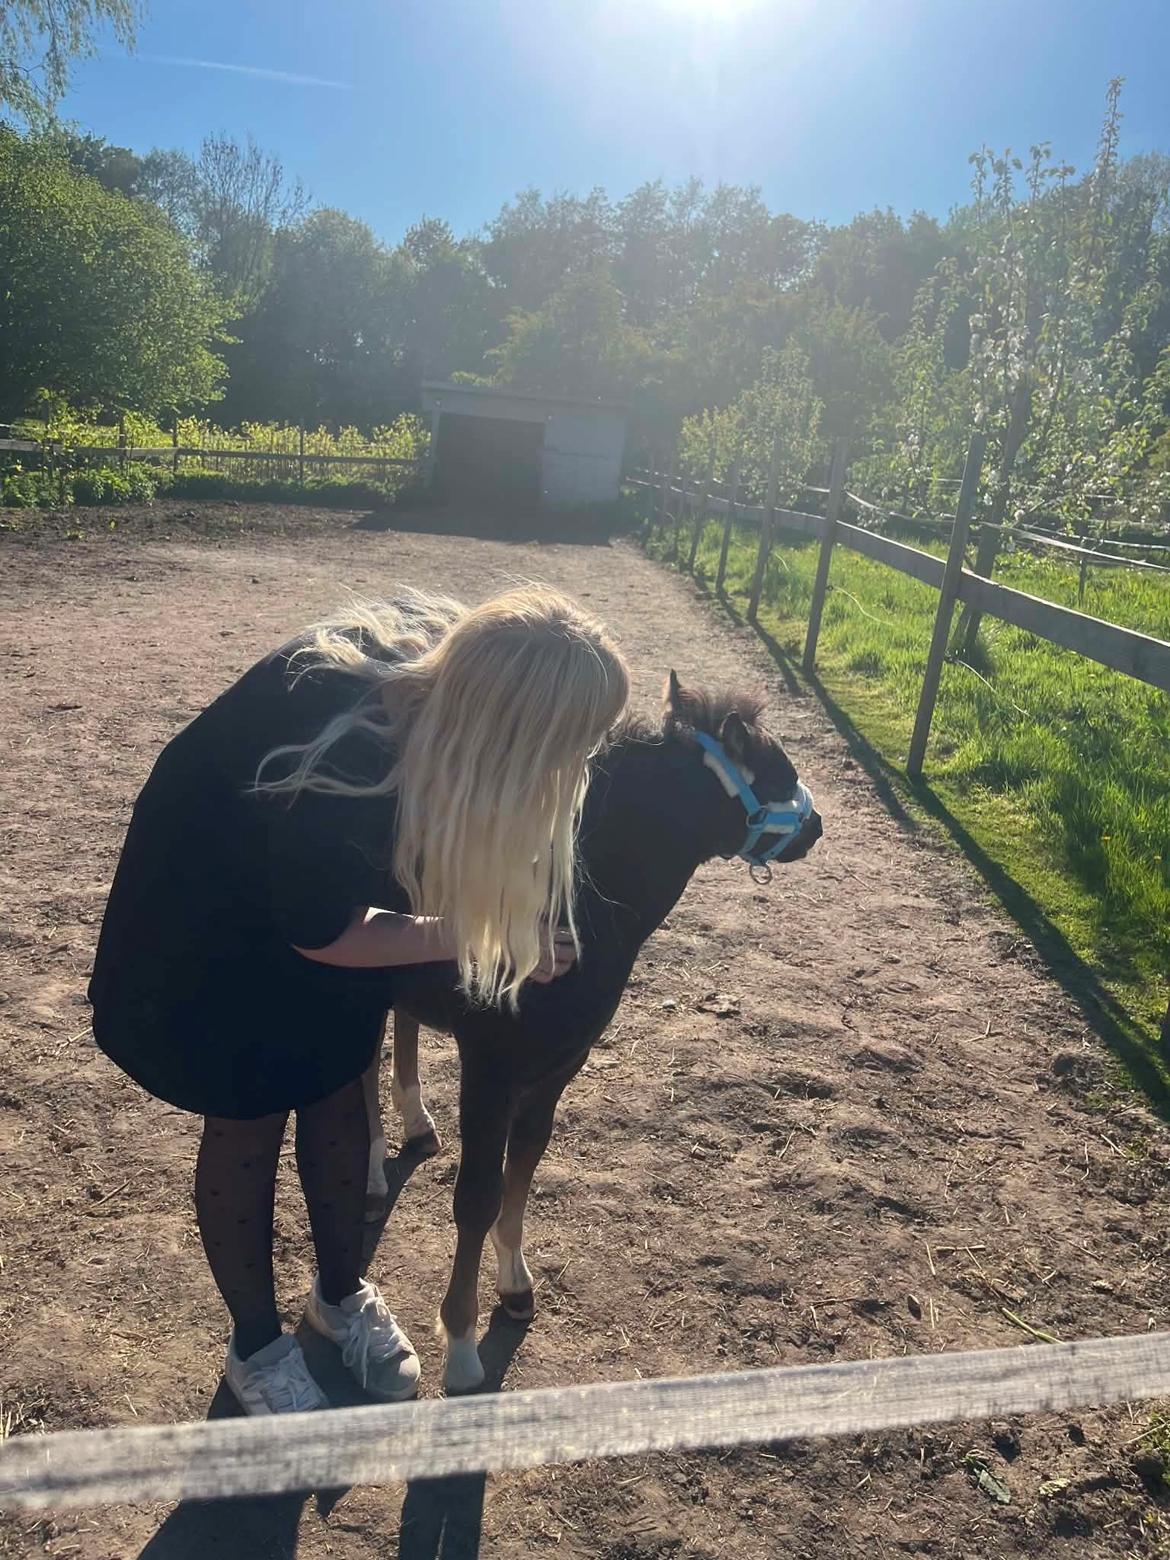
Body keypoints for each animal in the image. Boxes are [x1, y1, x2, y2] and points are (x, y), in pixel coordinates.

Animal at [363, 672, 824, 1392]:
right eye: (776, 770)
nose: (817, 825)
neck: (569, 904)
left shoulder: (559, 1067)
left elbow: (523, 1166)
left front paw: (515, 1285)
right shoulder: (490, 1068)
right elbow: (476, 1196)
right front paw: (461, 1348)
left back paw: (412, 1125)